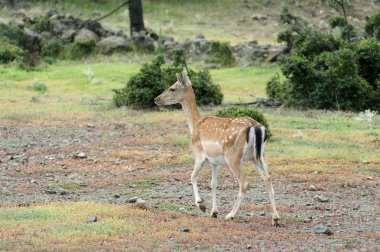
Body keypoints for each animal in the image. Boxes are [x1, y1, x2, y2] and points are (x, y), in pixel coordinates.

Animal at [153, 72, 280, 224]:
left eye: (172, 88)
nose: (156, 99)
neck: (195, 125)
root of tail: (256, 127)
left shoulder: (200, 153)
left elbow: (192, 176)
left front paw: (201, 205)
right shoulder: (214, 162)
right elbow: (213, 183)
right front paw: (213, 212)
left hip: (233, 157)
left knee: (244, 183)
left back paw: (231, 215)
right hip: (259, 156)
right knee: (268, 178)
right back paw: (276, 218)